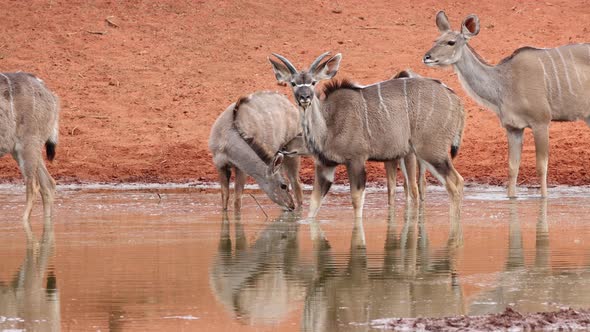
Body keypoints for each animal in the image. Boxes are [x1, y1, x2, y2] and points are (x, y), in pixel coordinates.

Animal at [270, 52, 468, 219]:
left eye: (313, 82)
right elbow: (313, 205)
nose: (304, 97)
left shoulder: (356, 159)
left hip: (431, 151)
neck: (329, 123)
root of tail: (457, 101)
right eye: (293, 83)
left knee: (455, 182)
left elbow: (357, 202)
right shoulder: (325, 165)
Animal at [426, 11, 590, 197]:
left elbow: (541, 167)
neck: (504, 83)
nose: (427, 57)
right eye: (435, 40)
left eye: (451, 42)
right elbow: (512, 168)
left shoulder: (541, 122)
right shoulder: (513, 128)